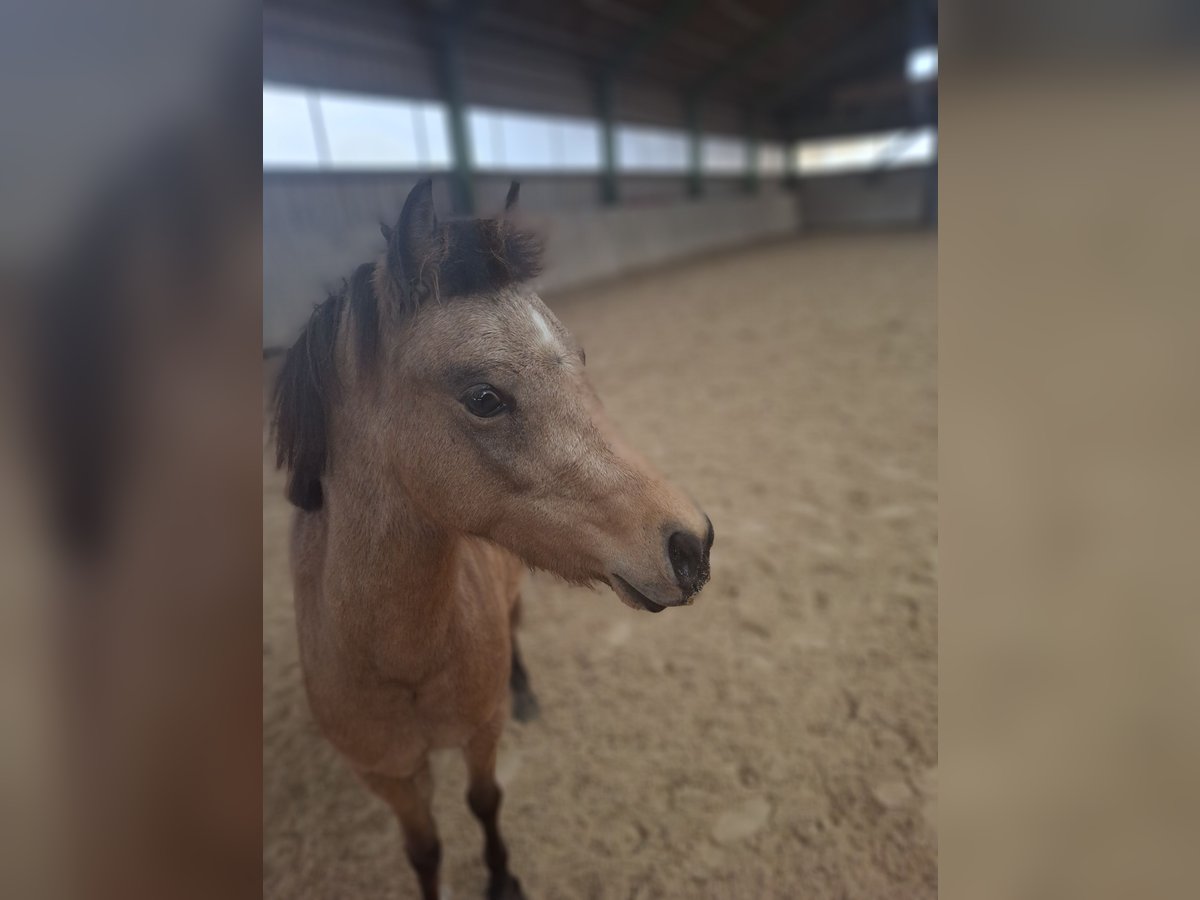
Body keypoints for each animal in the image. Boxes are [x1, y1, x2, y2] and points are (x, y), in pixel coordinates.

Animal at [272, 180, 710, 897]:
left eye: (581, 362)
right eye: (483, 397)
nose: (691, 544)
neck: (399, 660)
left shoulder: (481, 732)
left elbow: (485, 801)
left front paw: (503, 879)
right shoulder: (391, 777)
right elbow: (424, 850)